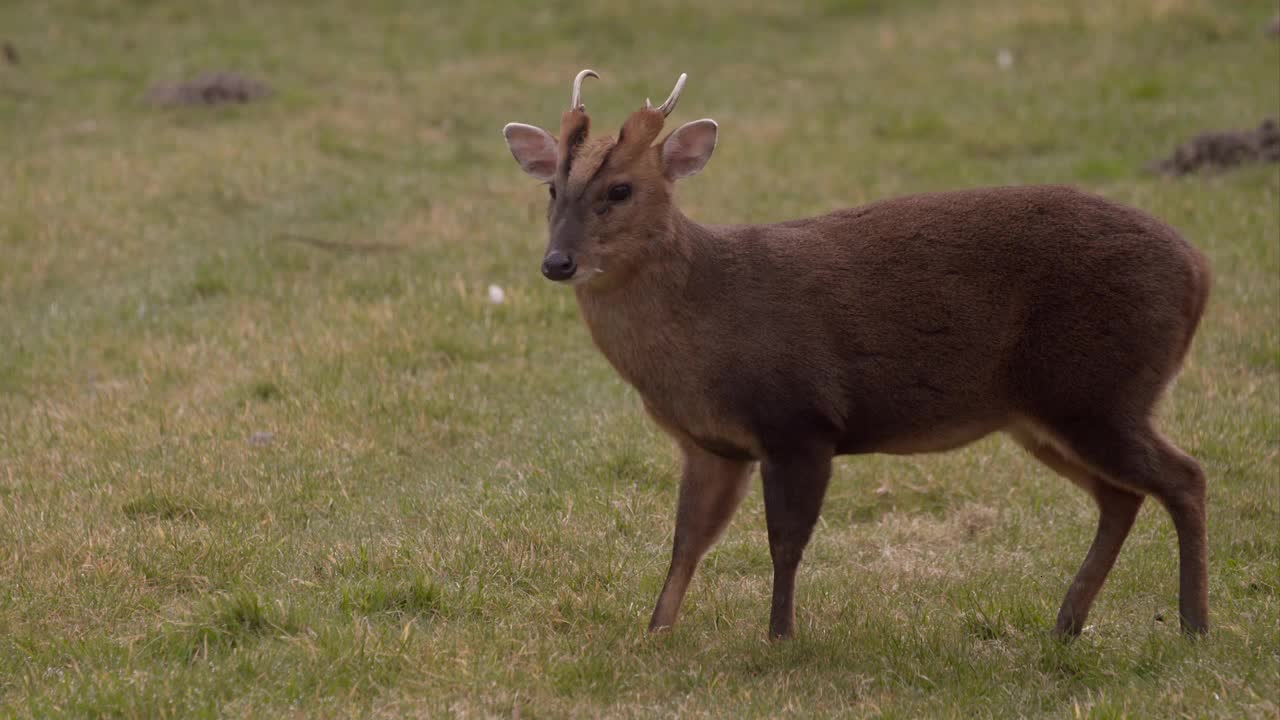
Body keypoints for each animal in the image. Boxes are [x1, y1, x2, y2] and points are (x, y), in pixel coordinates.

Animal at [499, 70, 1208, 635]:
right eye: (552, 191)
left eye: (619, 190)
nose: (557, 262)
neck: (703, 332)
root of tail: (1199, 272)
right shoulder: (712, 444)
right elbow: (686, 544)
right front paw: (655, 633)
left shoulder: (801, 418)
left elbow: (785, 543)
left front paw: (780, 637)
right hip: (1046, 413)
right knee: (1122, 496)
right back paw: (1067, 624)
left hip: (1100, 387)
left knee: (1185, 477)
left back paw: (1193, 624)